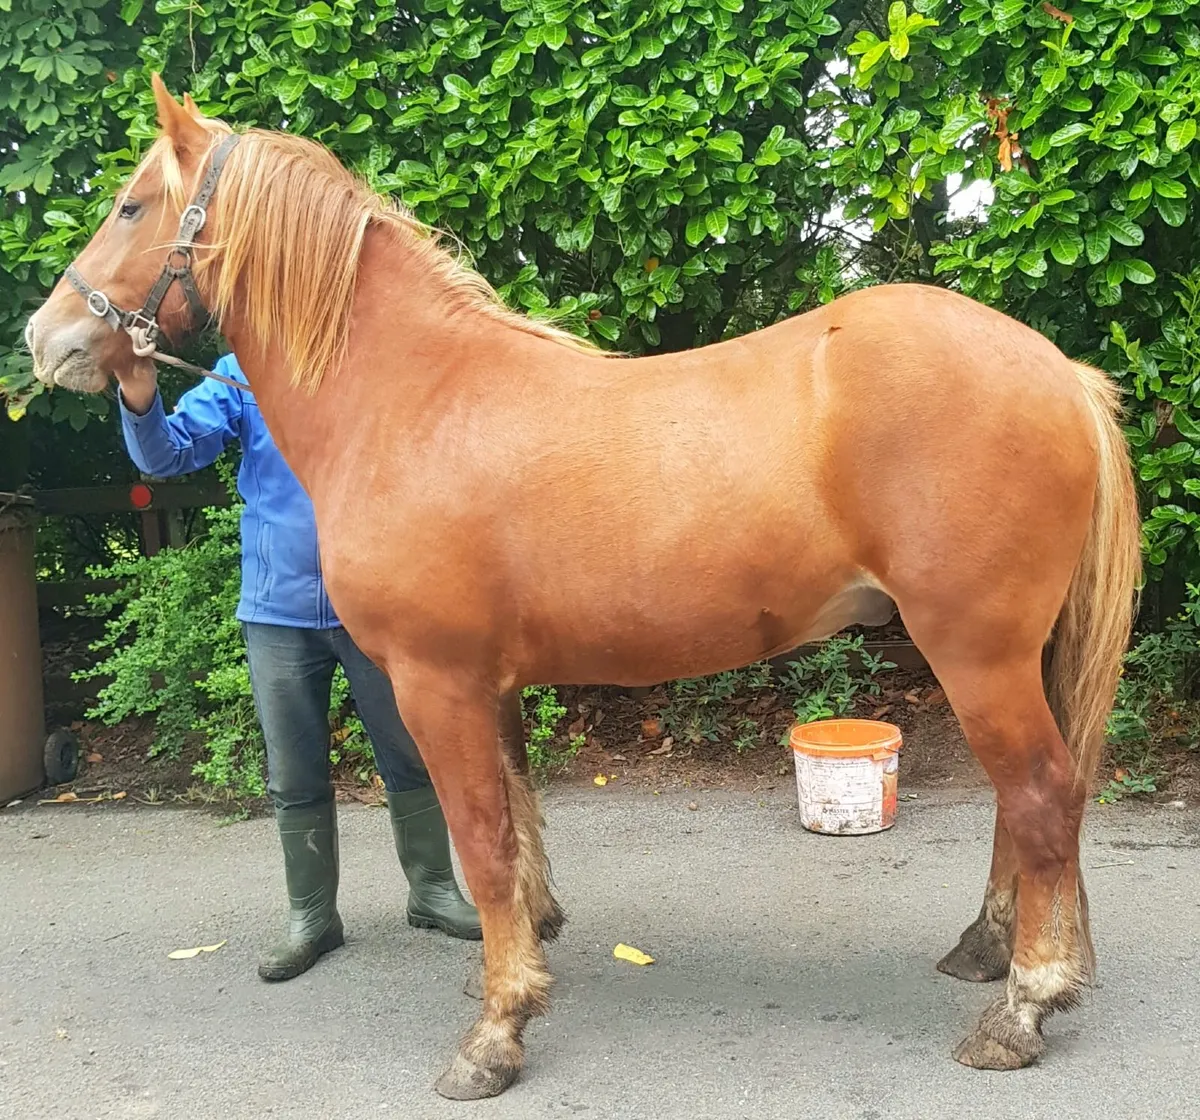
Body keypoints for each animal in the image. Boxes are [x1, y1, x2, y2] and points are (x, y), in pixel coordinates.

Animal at [25, 77, 1140, 1099]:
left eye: (131, 205)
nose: (45, 338)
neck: (415, 398)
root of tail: (1060, 372)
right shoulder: (491, 687)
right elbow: (516, 831)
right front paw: (524, 964)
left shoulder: (437, 683)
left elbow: (479, 839)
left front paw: (493, 1035)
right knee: (1024, 806)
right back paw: (991, 950)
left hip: (977, 652)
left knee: (1040, 795)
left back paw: (1024, 1007)